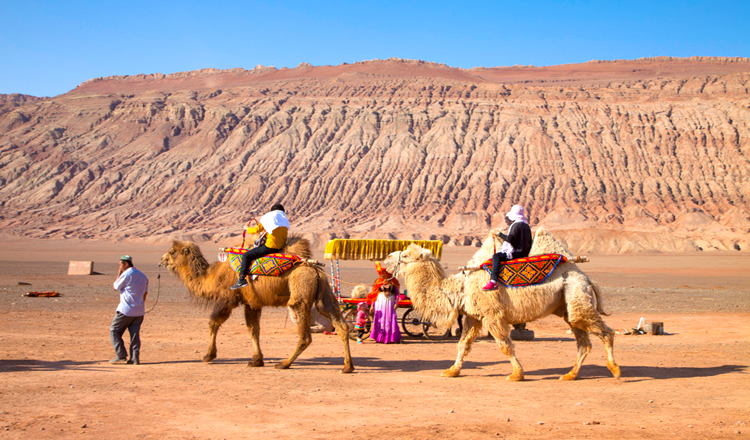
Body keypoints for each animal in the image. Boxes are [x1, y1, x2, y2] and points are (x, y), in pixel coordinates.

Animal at [160, 235, 354, 372]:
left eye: (173, 252)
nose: (162, 260)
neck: (213, 275)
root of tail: (315, 271)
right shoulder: (252, 303)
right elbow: (254, 330)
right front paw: (256, 360)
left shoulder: (227, 299)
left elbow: (213, 323)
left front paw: (208, 355)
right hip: (325, 294)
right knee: (341, 325)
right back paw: (347, 366)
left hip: (300, 293)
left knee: (305, 335)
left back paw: (284, 364)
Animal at [388, 229, 624, 380]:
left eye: (406, 255)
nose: (388, 257)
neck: (460, 288)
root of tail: (586, 278)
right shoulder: (473, 316)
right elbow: (462, 344)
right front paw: (452, 371)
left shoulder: (492, 314)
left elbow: (504, 346)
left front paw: (517, 374)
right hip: (567, 304)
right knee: (583, 341)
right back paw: (570, 375)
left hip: (575, 293)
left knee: (606, 333)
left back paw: (615, 370)